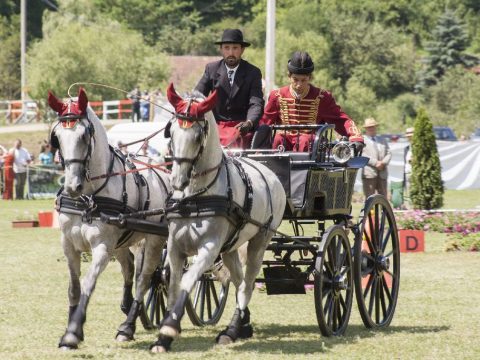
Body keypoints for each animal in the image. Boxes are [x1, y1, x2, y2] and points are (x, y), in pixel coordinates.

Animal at [47, 88, 172, 350]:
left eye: (85, 135)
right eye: (57, 137)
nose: (72, 186)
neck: (89, 197)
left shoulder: (103, 247)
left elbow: (88, 284)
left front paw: (73, 333)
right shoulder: (69, 245)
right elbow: (74, 288)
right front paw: (69, 331)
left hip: (153, 240)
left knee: (146, 278)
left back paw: (128, 326)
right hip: (123, 240)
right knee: (130, 267)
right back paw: (129, 308)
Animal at [150, 83, 284, 352]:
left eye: (198, 136)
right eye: (171, 133)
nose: (177, 181)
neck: (194, 196)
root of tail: (270, 173)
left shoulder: (209, 248)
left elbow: (188, 281)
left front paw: (169, 327)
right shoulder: (175, 246)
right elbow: (173, 284)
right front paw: (163, 338)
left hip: (260, 241)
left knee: (247, 284)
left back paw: (231, 330)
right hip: (231, 247)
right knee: (239, 281)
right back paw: (242, 324)